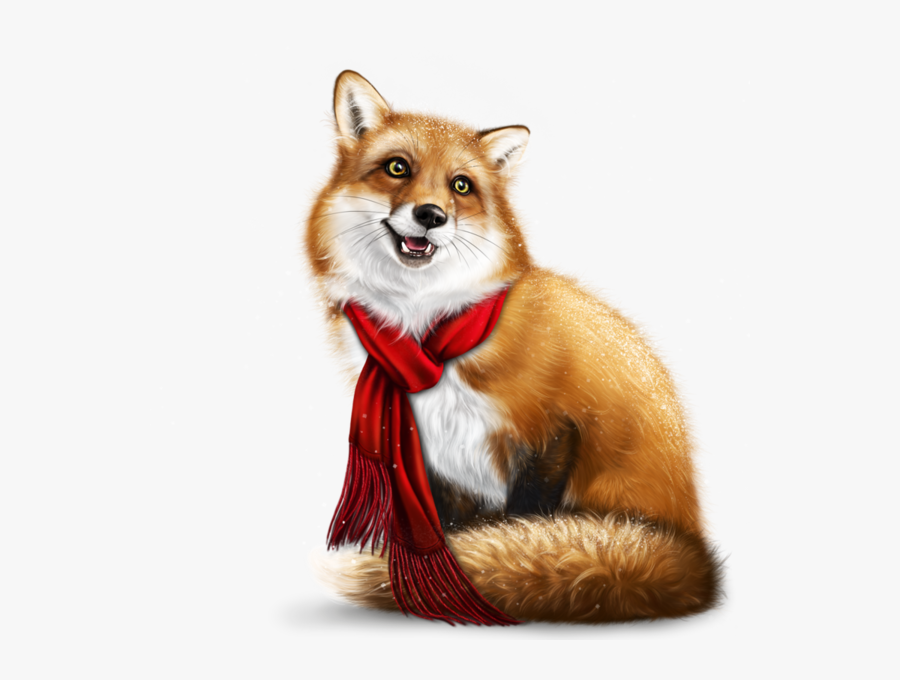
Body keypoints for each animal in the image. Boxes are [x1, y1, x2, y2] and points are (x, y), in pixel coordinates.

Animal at [305, 70, 722, 623]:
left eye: (461, 185)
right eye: (397, 168)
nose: (431, 215)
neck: (430, 333)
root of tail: (695, 563)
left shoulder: (552, 433)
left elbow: (524, 520)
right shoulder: (430, 456)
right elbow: (449, 527)